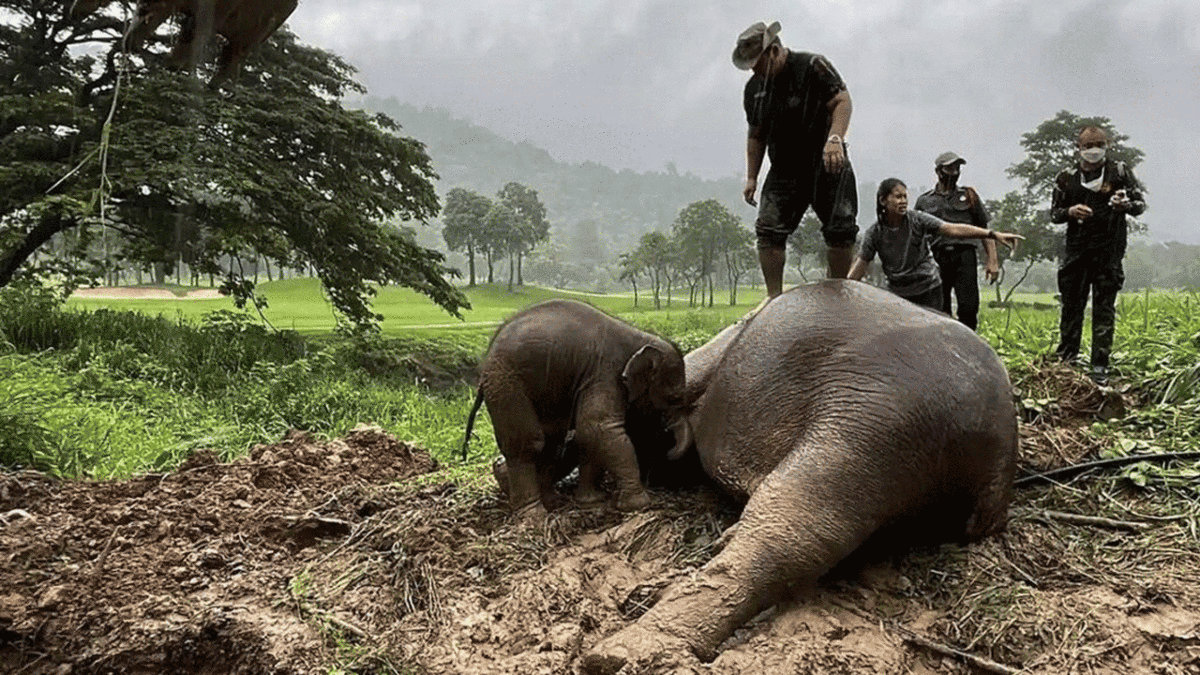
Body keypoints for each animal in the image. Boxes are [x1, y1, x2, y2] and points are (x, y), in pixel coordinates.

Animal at [468, 296, 696, 516]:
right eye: (674, 397)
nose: (669, 452)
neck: (640, 336)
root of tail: (485, 360)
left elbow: (587, 435)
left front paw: (592, 502)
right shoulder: (605, 372)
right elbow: (598, 427)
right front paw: (639, 504)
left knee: (552, 440)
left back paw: (552, 503)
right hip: (505, 382)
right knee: (529, 442)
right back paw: (534, 516)